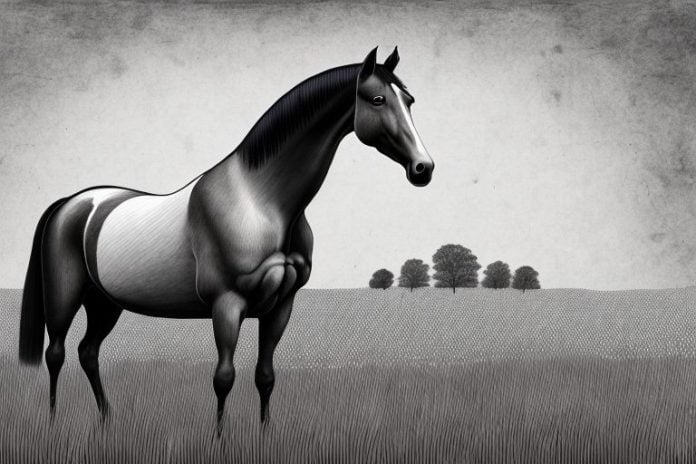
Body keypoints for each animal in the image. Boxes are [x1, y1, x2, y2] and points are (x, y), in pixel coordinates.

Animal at [18, 47, 434, 433]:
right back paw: (53, 423)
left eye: (410, 100)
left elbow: (265, 376)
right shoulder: (227, 304)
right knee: (56, 354)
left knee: (88, 352)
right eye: (377, 99)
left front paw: (265, 435)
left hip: (105, 302)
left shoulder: (281, 306)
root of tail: (72, 203)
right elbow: (224, 378)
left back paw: (107, 419)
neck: (259, 200)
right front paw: (219, 439)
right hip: (65, 296)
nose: (423, 168)